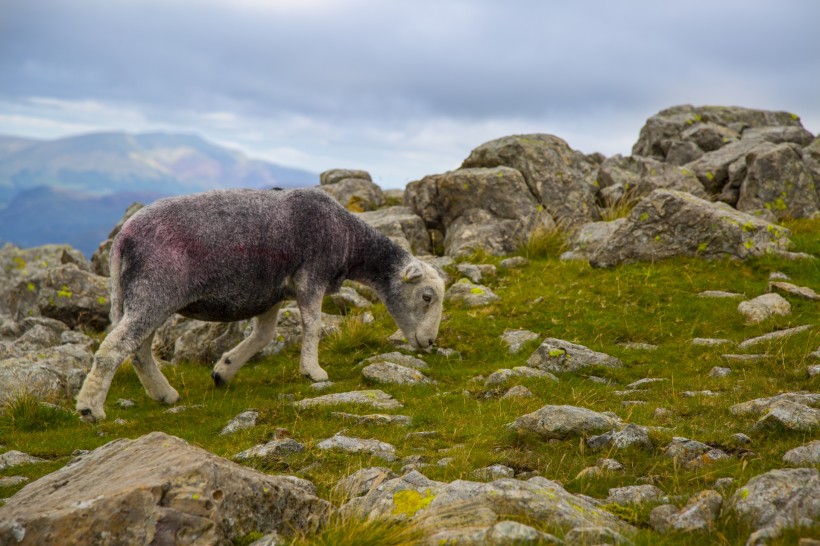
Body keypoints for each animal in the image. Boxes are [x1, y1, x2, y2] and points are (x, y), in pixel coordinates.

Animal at [75, 187, 448, 420]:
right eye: (426, 296)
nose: (429, 342)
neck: (348, 239)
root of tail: (123, 238)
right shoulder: (311, 276)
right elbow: (313, 326)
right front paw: (313, 371)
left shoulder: (271, 291)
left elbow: (264, 335)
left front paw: (225, 369)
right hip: (154, 292)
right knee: (116, 348)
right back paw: (90, 408)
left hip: (143, 296)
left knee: (138, 350)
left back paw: (164, 394)